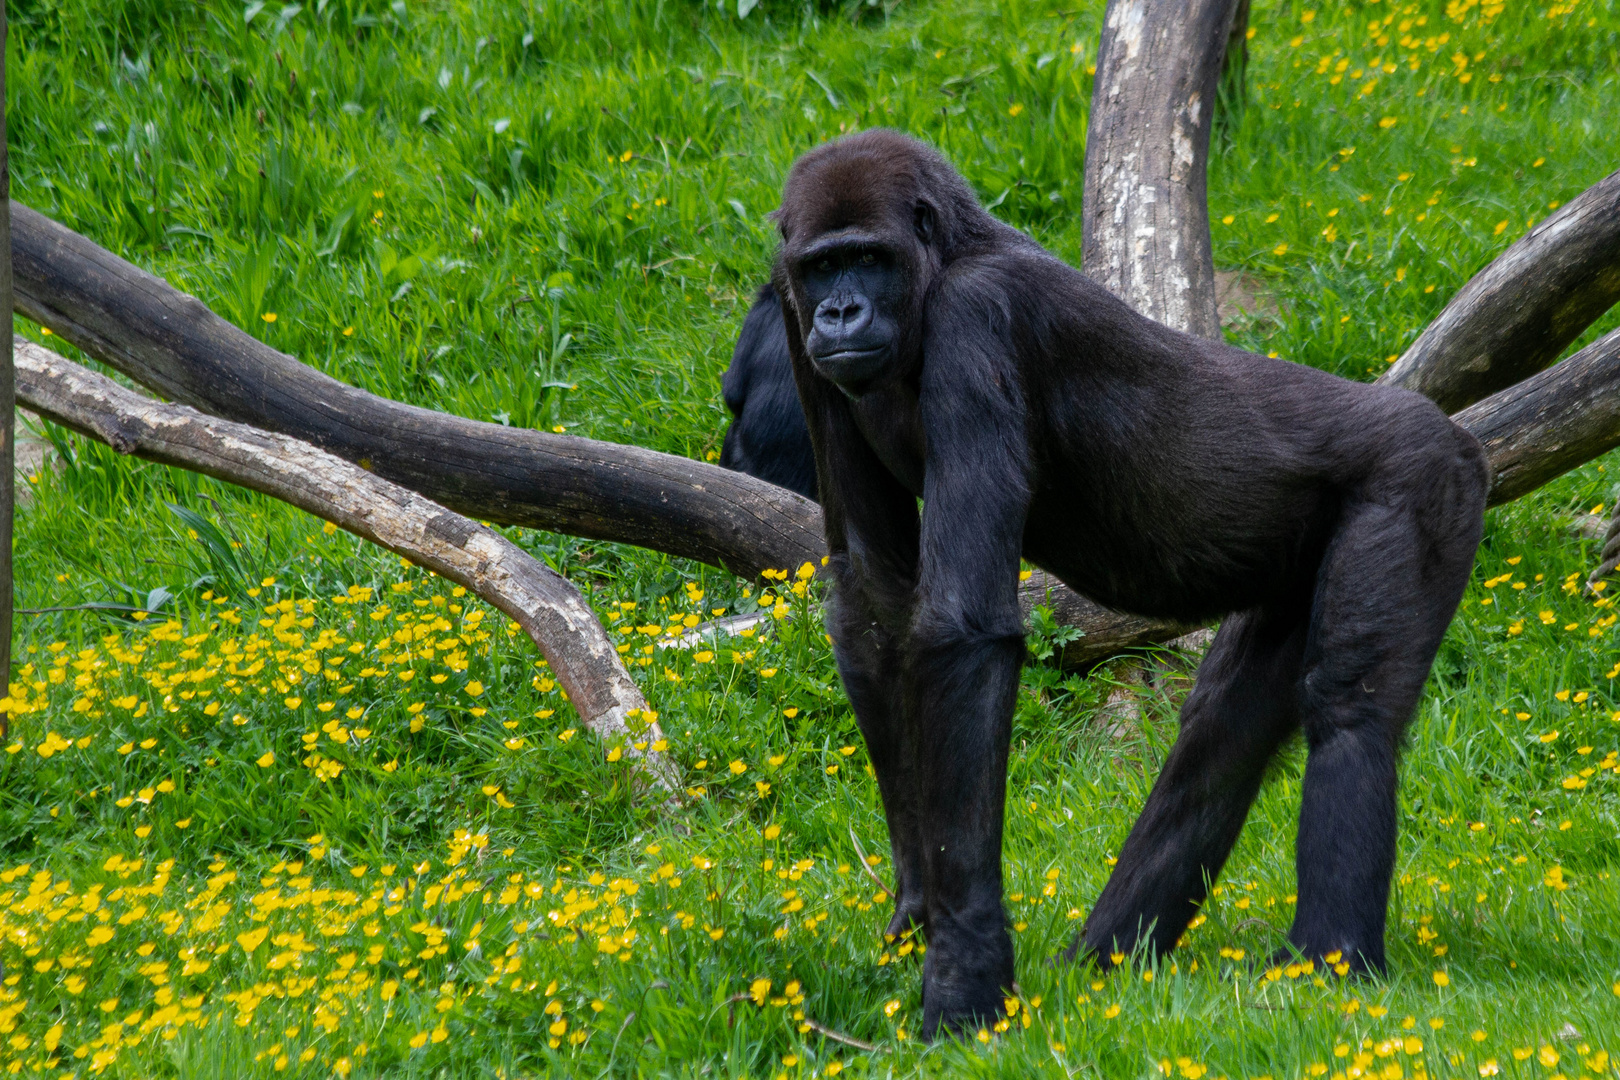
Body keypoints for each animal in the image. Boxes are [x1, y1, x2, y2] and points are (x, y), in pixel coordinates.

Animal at [764, 128, 1483, 1036]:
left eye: (868, 259)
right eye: (823, 268)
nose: (840, 314)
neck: (945, 258)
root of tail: (1454, 434)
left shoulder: (978, 317)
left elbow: (962, 630)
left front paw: (965, 971)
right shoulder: (792, 323)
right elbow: (872, 602)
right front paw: (918, 907)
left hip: (1421, 477)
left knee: (1353, 716)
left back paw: (1330, 964)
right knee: (1219, 737)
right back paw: (1109, 961)